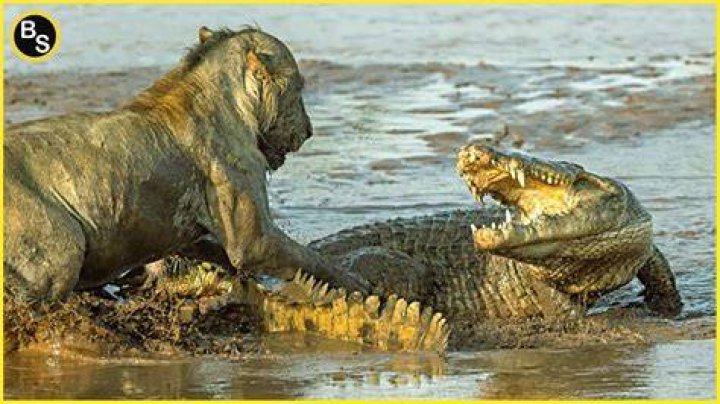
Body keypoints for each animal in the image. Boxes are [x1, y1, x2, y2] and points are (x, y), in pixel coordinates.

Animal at [4, 26, 366, 302]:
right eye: (299, 88)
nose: (309, 130)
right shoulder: (253, 238)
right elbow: (310, 260)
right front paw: (358, 284)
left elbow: (213, 251)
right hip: (60, 251)